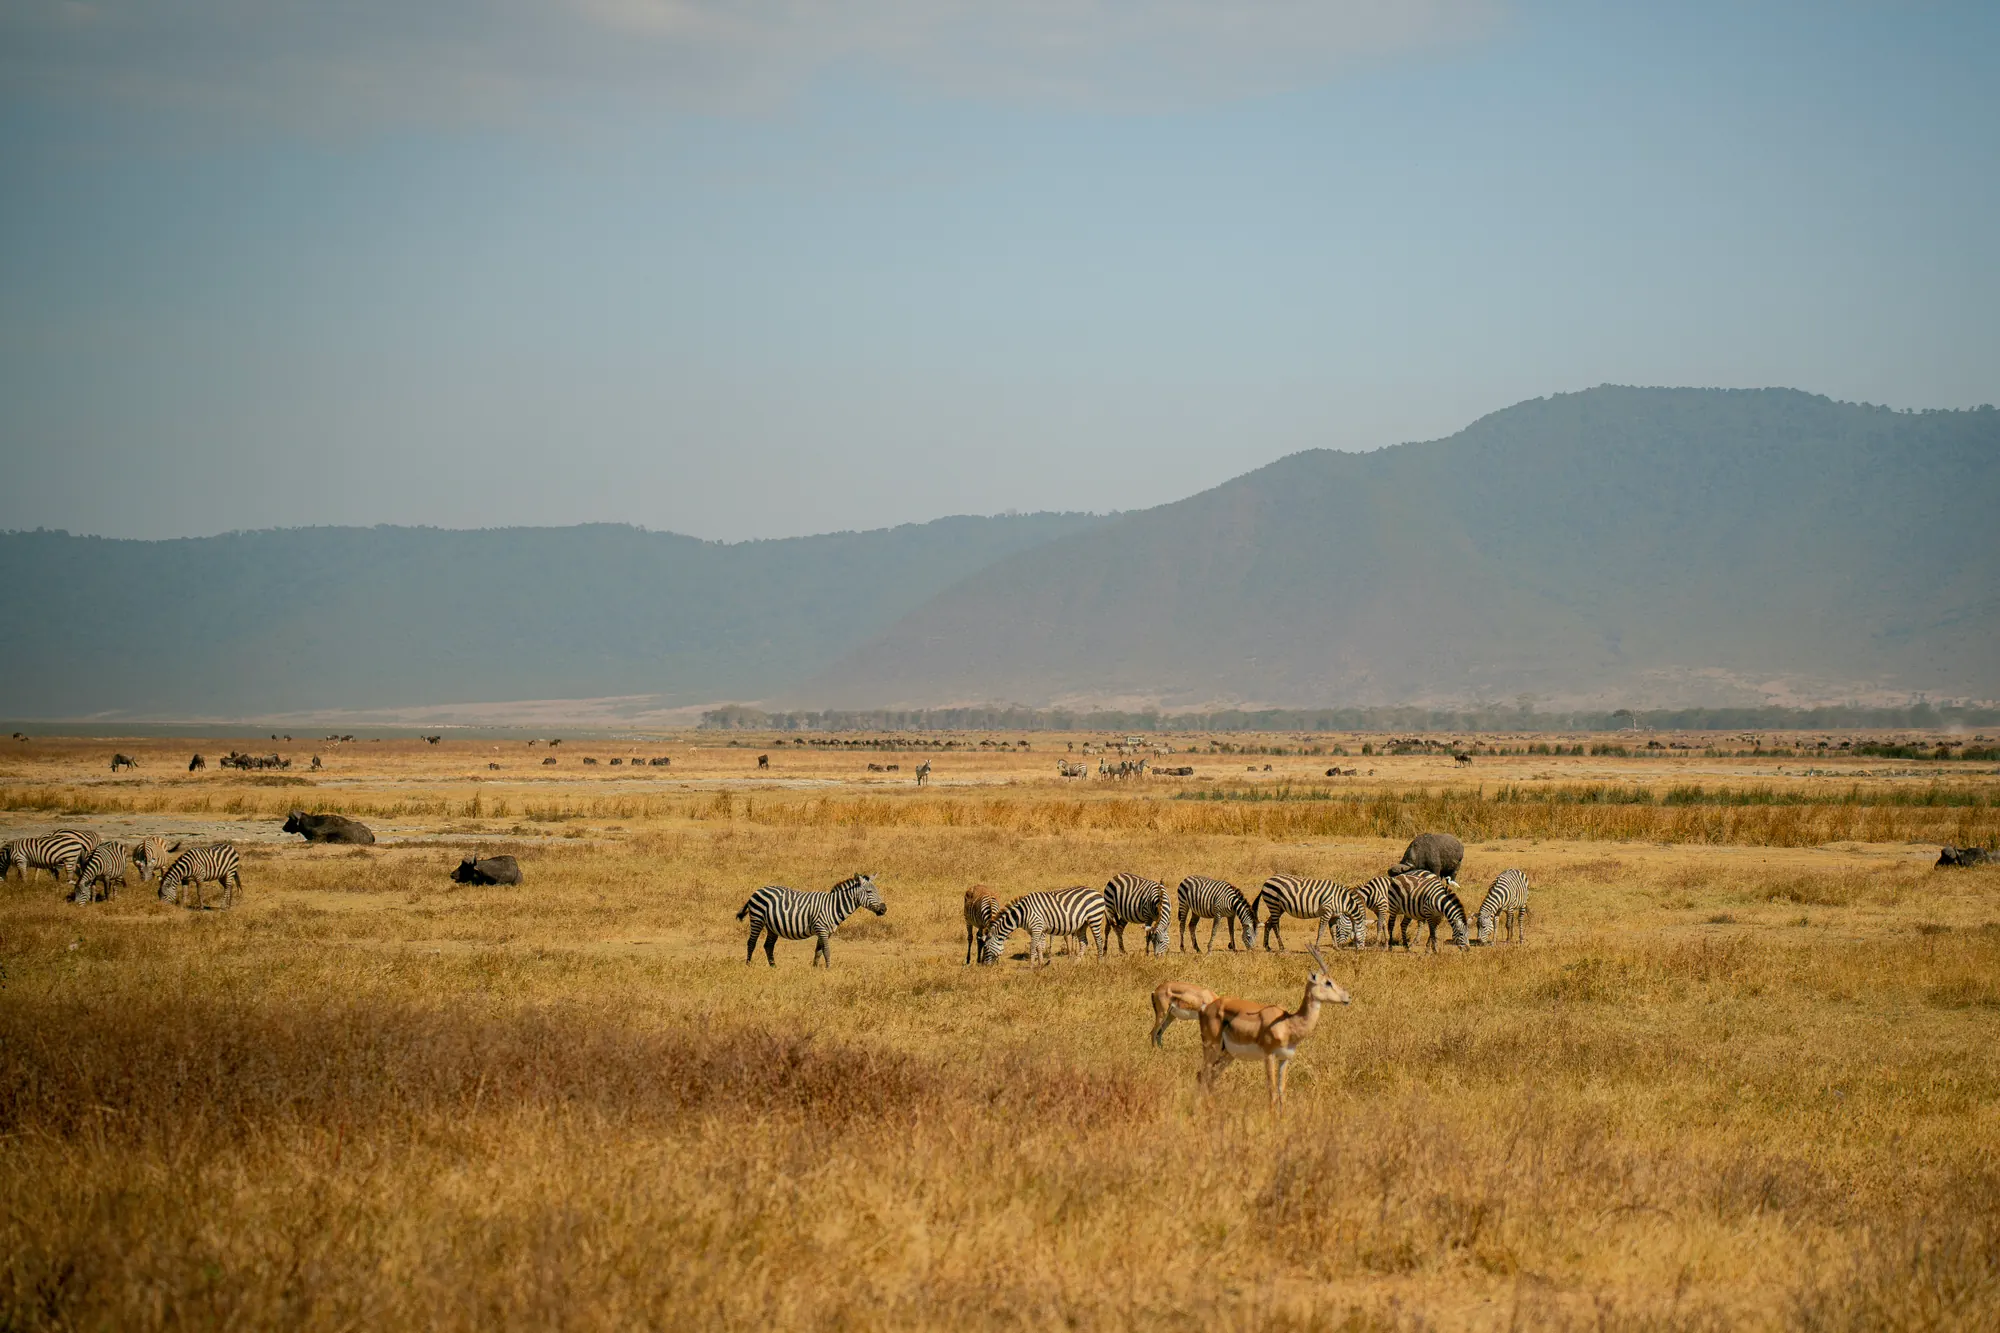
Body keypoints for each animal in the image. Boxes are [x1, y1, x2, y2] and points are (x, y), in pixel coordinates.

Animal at [736, 872, 885, 968]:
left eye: (877, 891)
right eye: (869, 892)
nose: (884, 909)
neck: (833, 906)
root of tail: (757, 890)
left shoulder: (826, 932)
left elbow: (818, 951)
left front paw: (815, 968)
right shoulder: (821, 928)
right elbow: (826, 951)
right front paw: (828, 969)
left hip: (772, 926)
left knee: (768, 945)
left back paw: (773, 966)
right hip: (757, 919)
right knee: (751, 942)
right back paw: (748, 965)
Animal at [1197, 945, 1352, 1110]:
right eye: (1328, 982)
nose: (1348, 997)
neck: (1288, 1024)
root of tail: (1206, 1007)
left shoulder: (1285, 1058)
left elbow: (1281, 1091)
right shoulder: (1269, 1056)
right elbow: (1272, 1091)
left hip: (1228, 1054)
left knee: (1209, 1077)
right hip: (1211, 1047)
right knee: (1203, 1075)